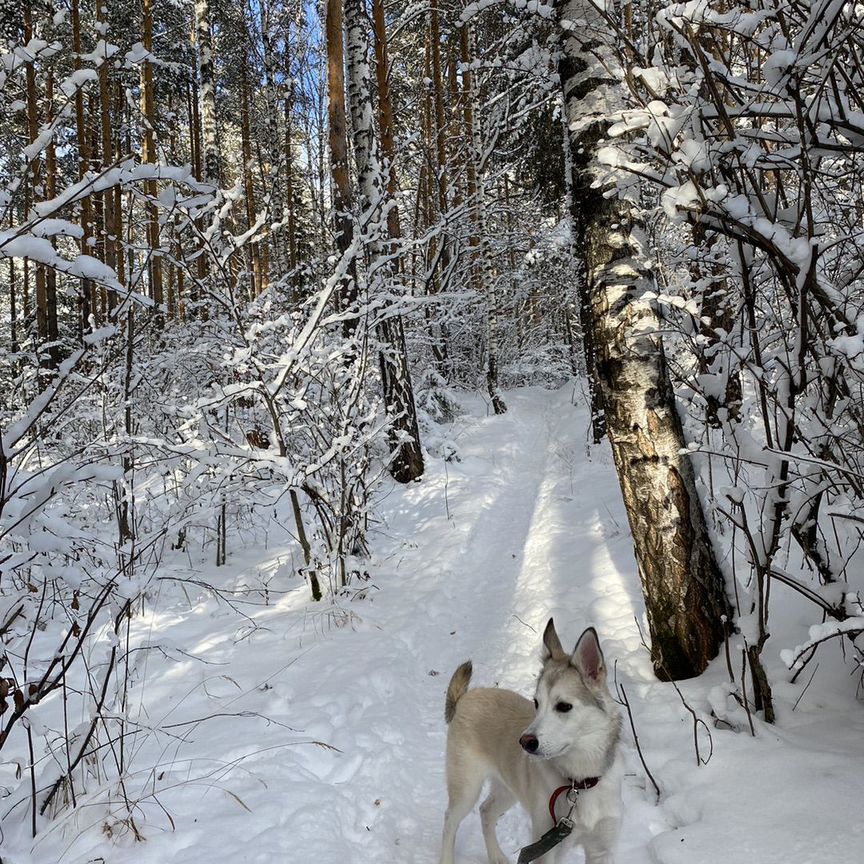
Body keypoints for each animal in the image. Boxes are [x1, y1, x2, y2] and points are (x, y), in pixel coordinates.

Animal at [438, 620, 620, 864]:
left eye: (564, 706)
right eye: (536, 703)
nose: (524, 742)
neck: (579, 782)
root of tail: (465, 697)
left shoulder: (601, 849)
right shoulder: (547, 847)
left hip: (507, 788)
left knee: (485, 811)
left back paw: (496, 856)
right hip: (467, 787)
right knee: (450, 820)